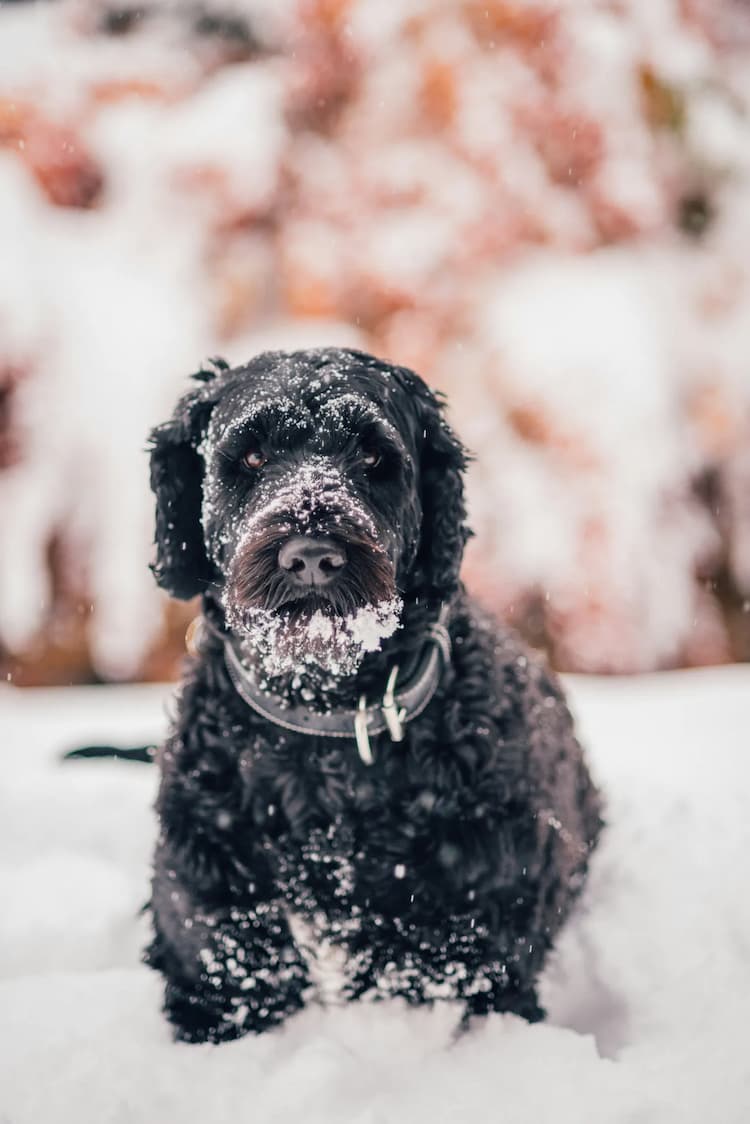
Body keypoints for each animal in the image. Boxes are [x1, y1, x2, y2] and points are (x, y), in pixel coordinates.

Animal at [145, 350, 602, 1043]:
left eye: (372, 456)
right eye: (250, 456)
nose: (311, 555)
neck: (325, 729)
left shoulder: (472, 935)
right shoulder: (213, 930)